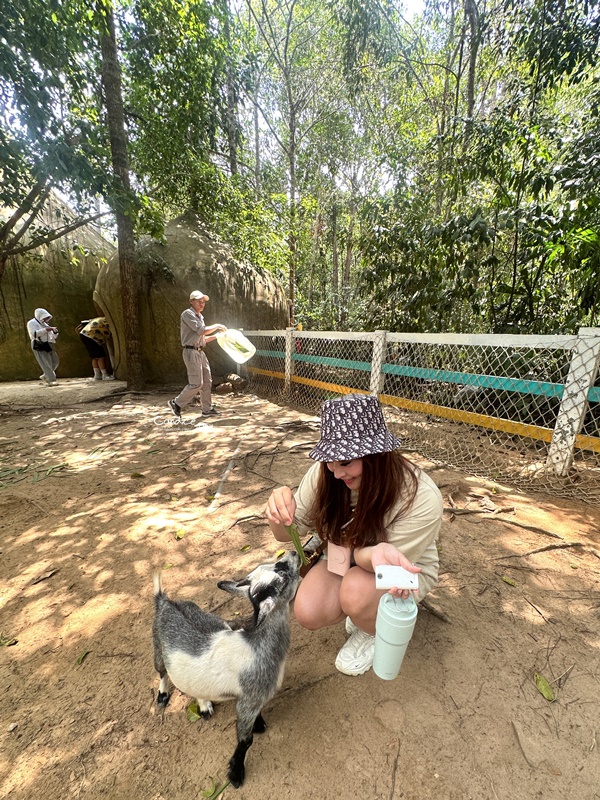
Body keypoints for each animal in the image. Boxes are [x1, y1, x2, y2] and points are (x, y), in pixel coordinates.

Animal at [150, 552, 300, 788]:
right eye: (282, 575)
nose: (294, 553)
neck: (256, 645)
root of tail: (165, 602)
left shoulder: (250, 699)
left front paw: (259, 724)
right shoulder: (250, 699)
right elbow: (245, 740)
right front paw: (235, 773)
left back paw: (204, 705)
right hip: (157, 645)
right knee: (162, 671)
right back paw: (163, 695)